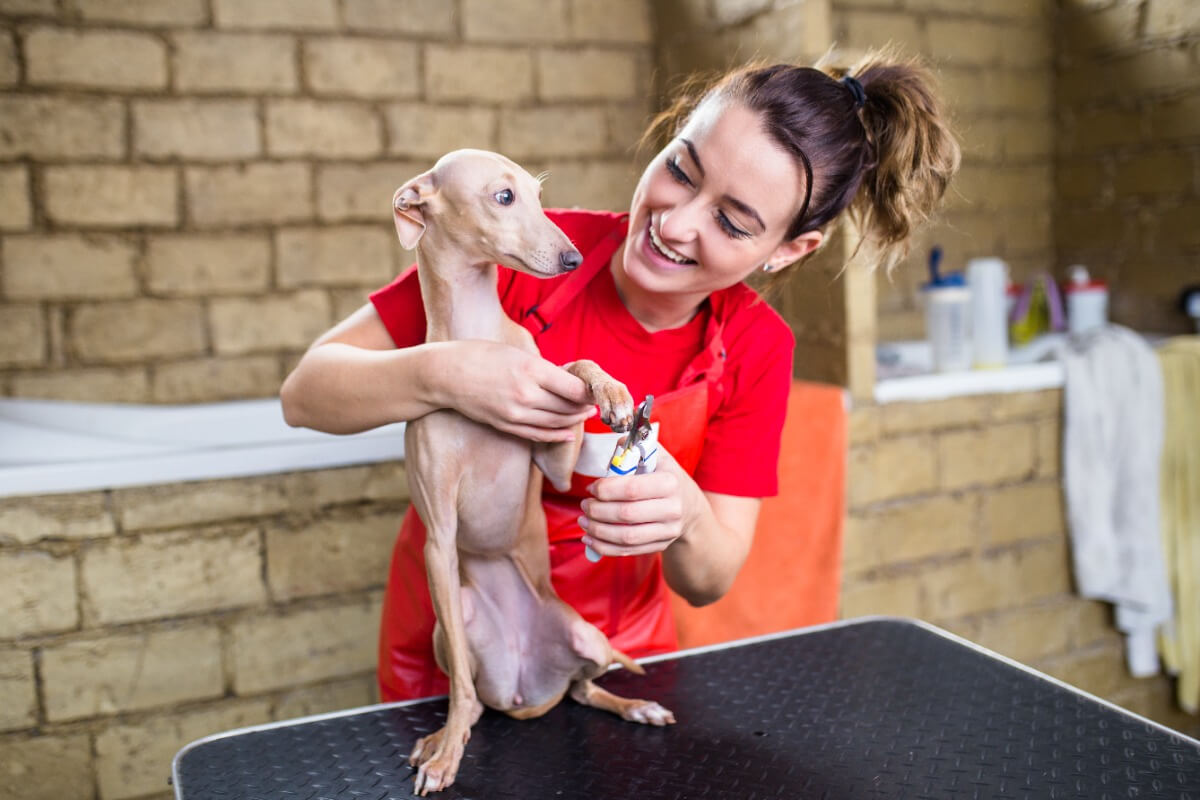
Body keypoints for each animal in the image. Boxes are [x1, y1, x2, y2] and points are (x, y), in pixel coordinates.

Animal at [393, 148, 676, 796]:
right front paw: (446, 756)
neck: (477, 337)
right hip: (451, 624)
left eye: (540, 196)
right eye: (503, 196)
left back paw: (637, 705)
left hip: (585, 634)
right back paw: (440, 738)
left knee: (586, 687)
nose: (573, 258)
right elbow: (459, 688)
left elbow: (574, 367)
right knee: (475, 697)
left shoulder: (554, 455)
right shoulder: (439, 538)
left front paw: (612, 394)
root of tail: (527, 690)